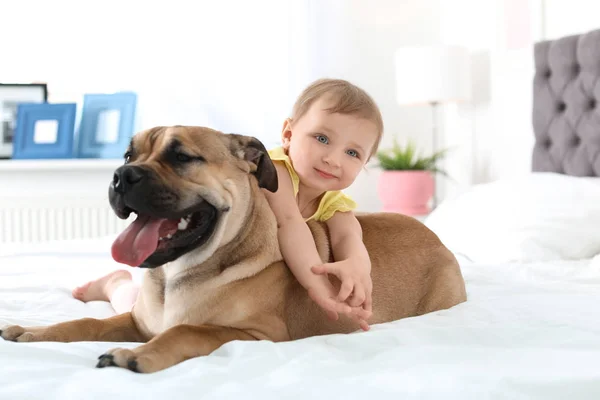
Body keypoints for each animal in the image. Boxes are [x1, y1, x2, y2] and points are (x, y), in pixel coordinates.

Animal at [0, 125, 466, 372]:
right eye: (129, 153)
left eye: (182, 156)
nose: (120, 175)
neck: (178, 274)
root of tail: (438, 240)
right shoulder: (136, 320)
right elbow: (87, 324)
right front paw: (38, 332)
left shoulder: (259, 334)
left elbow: (187, 330)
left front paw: (135, 356)